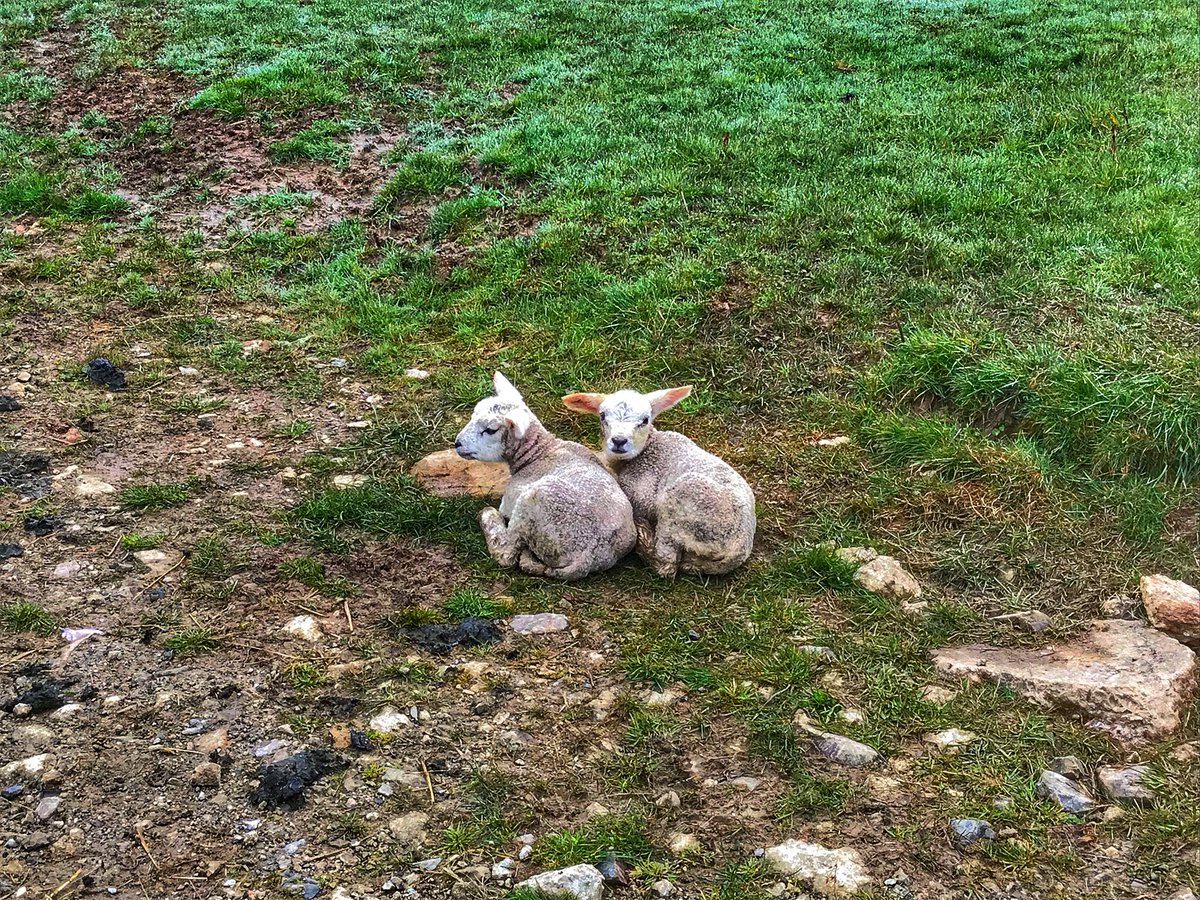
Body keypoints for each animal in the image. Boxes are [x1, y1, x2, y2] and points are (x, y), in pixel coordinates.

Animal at [454, 372, 636, 580]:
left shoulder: (510, 500)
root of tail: (586, 557)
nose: (457, 443)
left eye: (490, 430)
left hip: (531, 505)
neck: (539, 452)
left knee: (507, 553)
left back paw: (487, 516)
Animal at [562, 385, 756, 577]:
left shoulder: (641, 495)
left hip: (682, 509)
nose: (619, 441)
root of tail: (737, 551)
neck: (646, 450)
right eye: (602, 416)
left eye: (645, 420)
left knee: (666, 564)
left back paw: (643, 534)